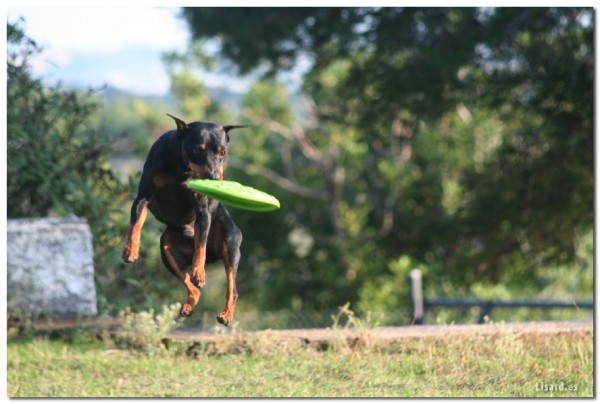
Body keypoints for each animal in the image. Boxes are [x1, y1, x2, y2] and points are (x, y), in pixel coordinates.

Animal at [122, 113, 246, 326]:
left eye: (223, 152)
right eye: (197, 150)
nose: (214, 177)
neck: (184, 170)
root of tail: (214, 256)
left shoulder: (203, 211)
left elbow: (200, 245)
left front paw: (199, 272)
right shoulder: (143, 198)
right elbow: (135, 224)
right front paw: (131, 250)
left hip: (230, 245)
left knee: (232, 287)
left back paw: (226, 314)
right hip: (167, 250)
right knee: (192, 287)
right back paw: (189, 305)